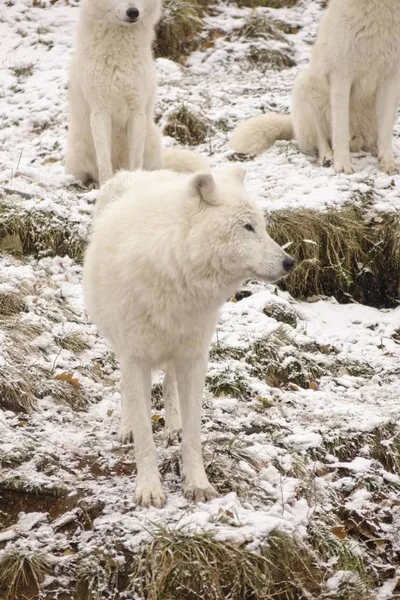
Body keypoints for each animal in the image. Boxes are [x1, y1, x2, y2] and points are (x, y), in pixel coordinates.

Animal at [65, 0, 209, 185]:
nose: (133, 12)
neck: (118, 59)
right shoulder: (100, 112)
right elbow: (103, 159)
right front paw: (107, 184)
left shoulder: (137, 112)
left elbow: (136, 158)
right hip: (77, 157)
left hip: (151, 141)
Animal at [83, 166, 296, 508]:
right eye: (247, 227)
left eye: (262, 227)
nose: (290, 262)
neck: (175, 268)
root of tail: (136, 171)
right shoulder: (135, 357)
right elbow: (144, 434)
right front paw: (149, 488)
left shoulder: (194, 358)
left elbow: (194, 433)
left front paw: (196, 483)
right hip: (121, 345)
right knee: (127, 389)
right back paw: (126, 427)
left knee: (169, 384)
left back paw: (173, 426)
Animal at [231, 1, 400, 176]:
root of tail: (292, 122)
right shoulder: (341, 76)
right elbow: (340, 130)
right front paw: (342, 165)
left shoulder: (391, 79)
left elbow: (385, 133)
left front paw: (388, 164)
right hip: (303, 86)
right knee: (322, 143)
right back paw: (328, 158)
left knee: (369, 141)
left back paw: (372, 150)